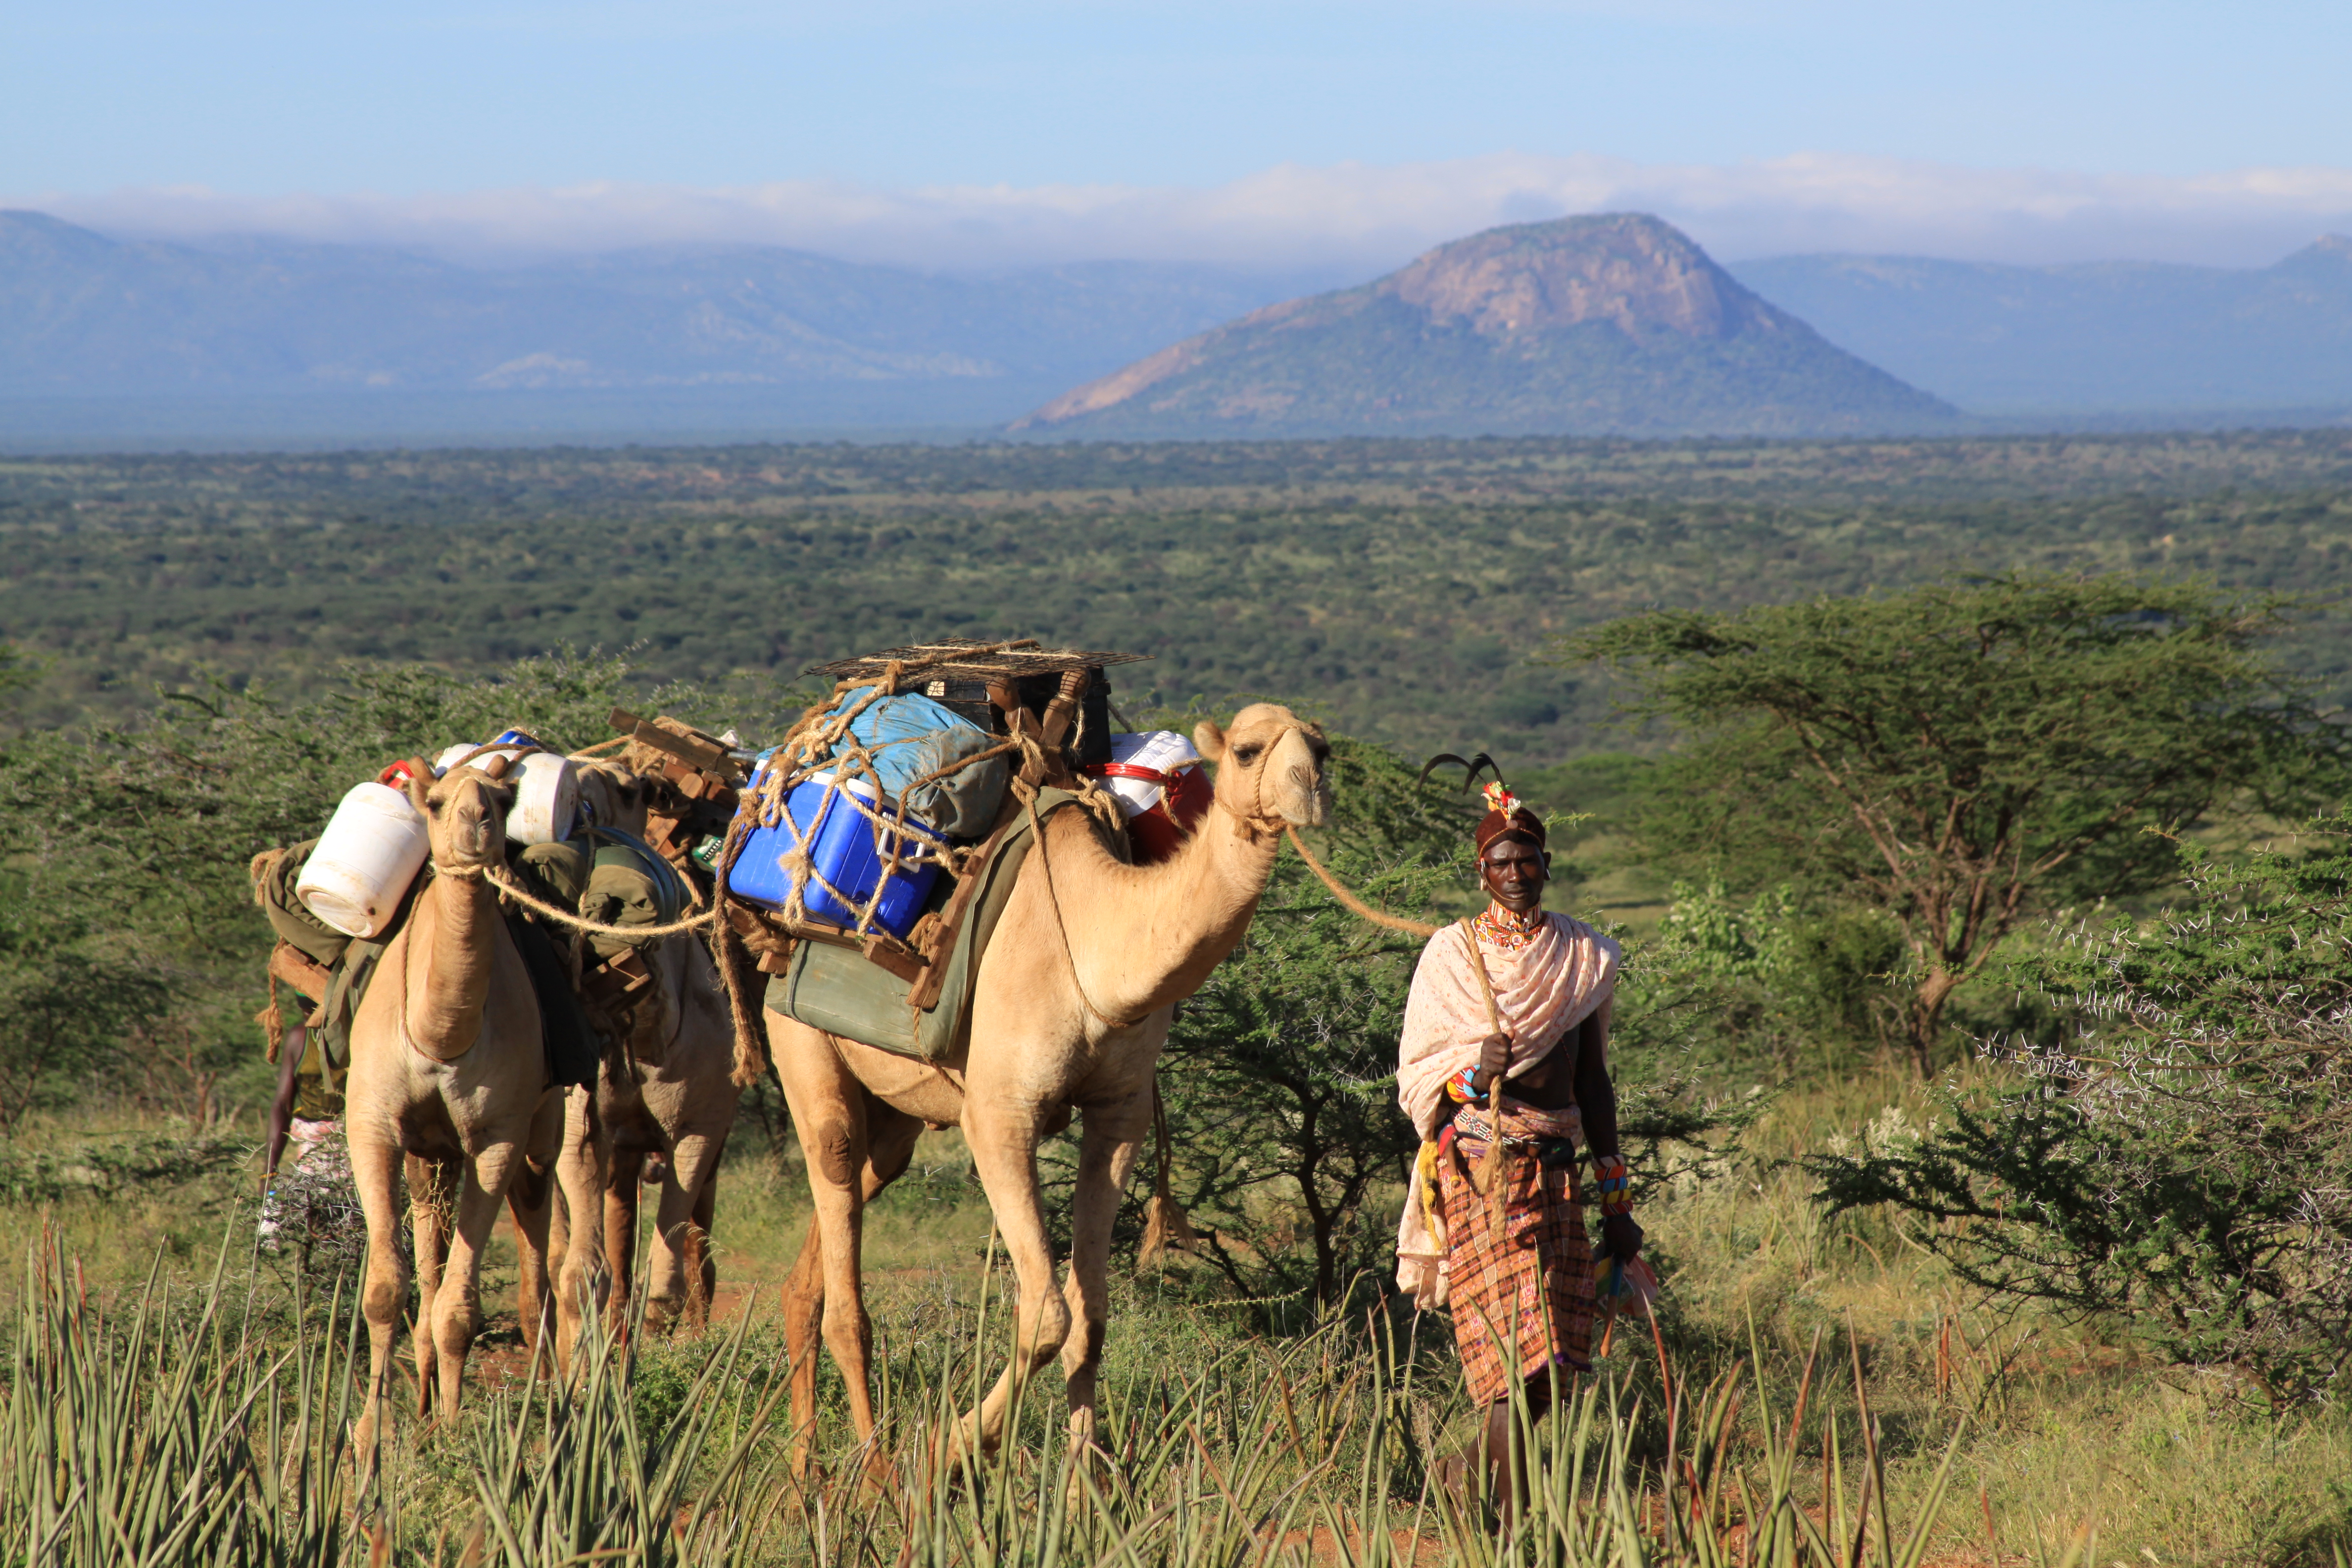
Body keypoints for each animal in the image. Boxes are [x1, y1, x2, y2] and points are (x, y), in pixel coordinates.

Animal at [343, 761, 603, 1464]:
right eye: (434, 801)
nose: (476, 823)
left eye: (503, 800)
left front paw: (457, 1432)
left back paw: (546, 1389)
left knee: (539, 1241)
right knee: (431, 1237)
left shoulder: (496, 1137)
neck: (441, 1036)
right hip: (430, 1152)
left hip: (542, 1130)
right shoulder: (373, 1125)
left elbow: (461, 1308)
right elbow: (386, 1291)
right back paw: (425, 1401)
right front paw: (371, 1435)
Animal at [768, 702, 1332, 1467]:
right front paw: (947, 1455)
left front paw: (1083, 1481)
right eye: (1246, 751)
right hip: (795, 1032)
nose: (1309, 788)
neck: (1098, 950)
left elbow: (1091, 1316)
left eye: (1324, 750)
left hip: (897, 1111)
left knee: (832, 1242)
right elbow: (1046, 1316)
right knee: (837, 1201)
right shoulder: (999, 1113)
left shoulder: (1119, 1115)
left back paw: (806, 1474)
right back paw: (875, 1470)